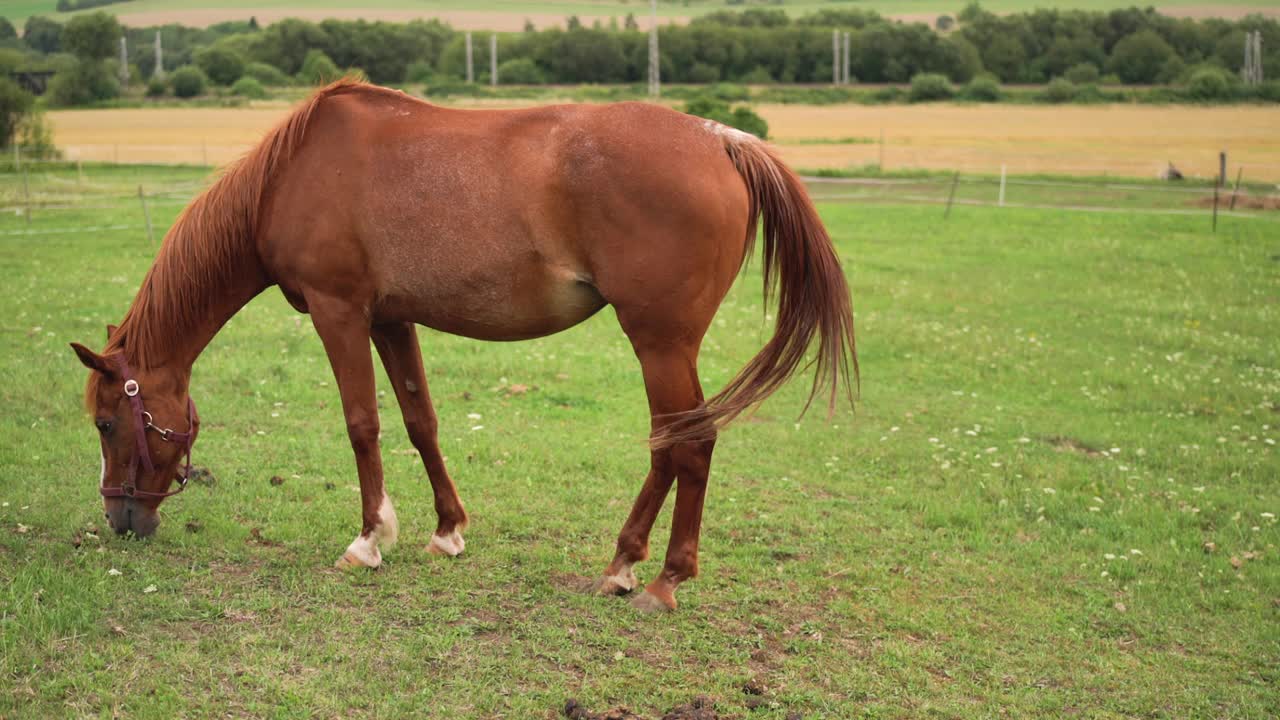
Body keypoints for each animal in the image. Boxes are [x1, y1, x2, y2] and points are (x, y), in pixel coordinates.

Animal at [70, 78, 855, 607]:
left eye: (107, 423)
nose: (120, 517)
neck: (290, 177)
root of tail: (720, 138)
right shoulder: (390, 319)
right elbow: (420, 421)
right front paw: (447, 530)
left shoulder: (338, 312)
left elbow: (362, 424)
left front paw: (367, 540)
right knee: (672, 445)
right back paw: (624, 562)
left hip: (660, 343)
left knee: (688, 444)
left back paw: (662, 577)